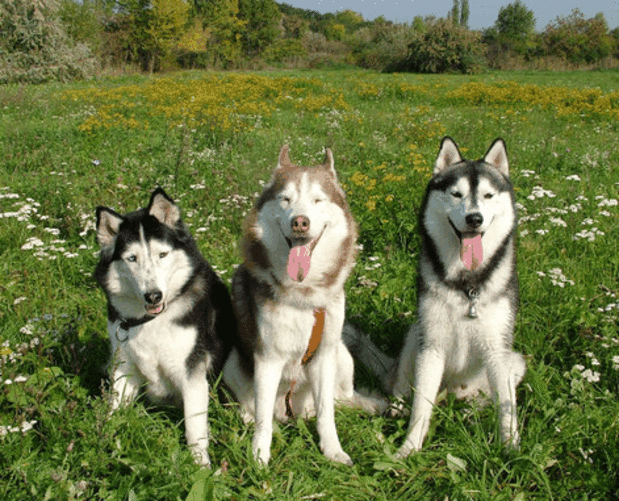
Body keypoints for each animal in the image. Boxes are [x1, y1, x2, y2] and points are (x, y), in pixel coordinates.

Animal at [94, 187, 235, 464]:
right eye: (132, 258)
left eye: (162, 254)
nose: (153, 296)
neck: (151, 321)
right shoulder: (124, 367)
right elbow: (114, 411)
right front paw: (107, 443)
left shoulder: (192, 374)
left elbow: (194, 428)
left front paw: (201, 465)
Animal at [225, 145, 386, 464]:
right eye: (285, 199)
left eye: (317, 200)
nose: (300, 221)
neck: (303, 295)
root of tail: (292, 413)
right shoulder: (268, 358)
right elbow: (263, 418)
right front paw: (259, 457)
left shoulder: (323, 355)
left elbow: (327, 413)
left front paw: (333, 450)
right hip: (231, 362)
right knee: (254, 408)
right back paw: (247, 417)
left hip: (341, 353)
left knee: (342, 399)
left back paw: (376, 405)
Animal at [390, 137, 524, 458]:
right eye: (456, 194)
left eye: (488, 195)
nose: (474, 218)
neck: (467, 285)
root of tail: (449, 395)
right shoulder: (432, 346)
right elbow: (420, 407)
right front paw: (409, 449)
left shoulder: (498, 349)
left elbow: (506, 407)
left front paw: (511, 450)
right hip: (415, 333)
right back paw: (397, 405)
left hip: (516, 361)